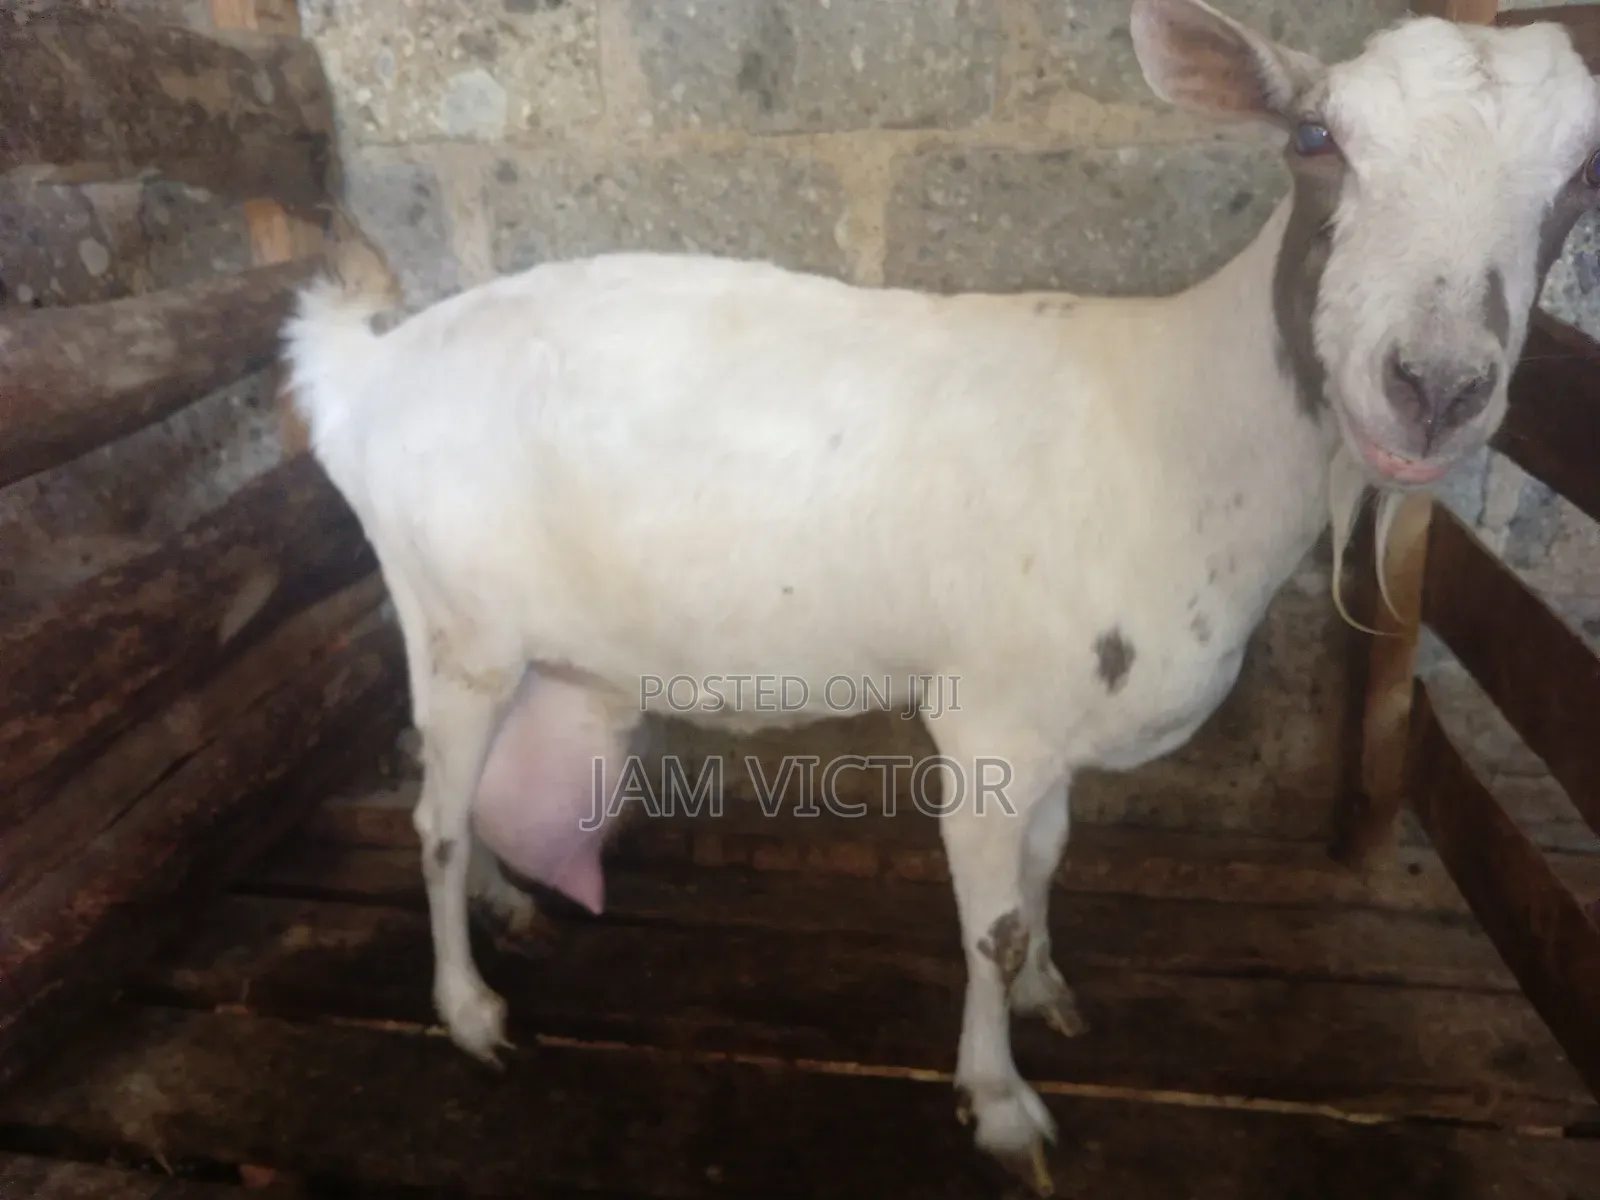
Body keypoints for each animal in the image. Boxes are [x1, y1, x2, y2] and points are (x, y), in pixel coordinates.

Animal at [281, 0, 1600, 1191]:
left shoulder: (1054, 710)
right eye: (1316, 138)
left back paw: (508, 910)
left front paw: (1053, 993)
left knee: (458, 798)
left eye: (1581, 176)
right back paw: (468, 1011)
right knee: (434, 817)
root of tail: (363, 370)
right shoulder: (987, 718)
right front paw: (1001, 1102)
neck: (1178, 430)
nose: (1435, 385)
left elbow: (1047, 865)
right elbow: (990, 925)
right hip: (457, 626)